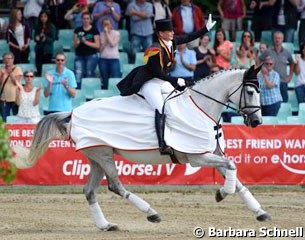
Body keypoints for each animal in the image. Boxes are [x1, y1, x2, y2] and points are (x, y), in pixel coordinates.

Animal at [11, 65, 270, 231]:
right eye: (250, 91)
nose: (257, 122)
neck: (201, 108)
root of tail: (73, 112)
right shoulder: (197, 157)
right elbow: (232, 168)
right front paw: (221, 193)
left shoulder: (212, 153)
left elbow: (237, 177)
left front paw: (259, 212)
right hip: (104, 155)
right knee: (115, 186)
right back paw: (151, 213)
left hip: (96, 156)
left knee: (89, 191)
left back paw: (106, 225)